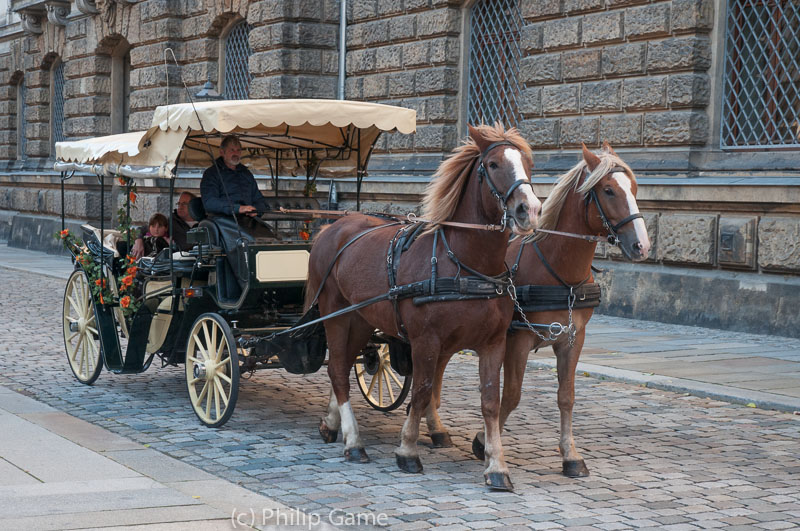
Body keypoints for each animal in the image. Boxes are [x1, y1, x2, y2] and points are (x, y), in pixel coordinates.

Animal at [304, 123, 540, 490]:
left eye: (528, 163)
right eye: (493, 165)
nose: (529, 209)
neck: (466, 265)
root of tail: (332, 226)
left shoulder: (493, 343)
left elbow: (490, 400)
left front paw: (497, 466)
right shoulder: (426, 341)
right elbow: (422, 390)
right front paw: (408, 450)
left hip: (360, 319)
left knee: (340, 366)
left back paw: (332, 425)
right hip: (335, 315)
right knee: (338, 372)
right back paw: (354, 441)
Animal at [424, 141, 648, 478]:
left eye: (633, 187)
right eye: (609, 190)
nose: (641, 246)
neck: (558, 269)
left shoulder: (572, 339)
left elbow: (566, 397)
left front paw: (570, 455)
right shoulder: (517, 340)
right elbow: (511, 396)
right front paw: (484, 443)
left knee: (435, 369)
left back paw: (434, 426)